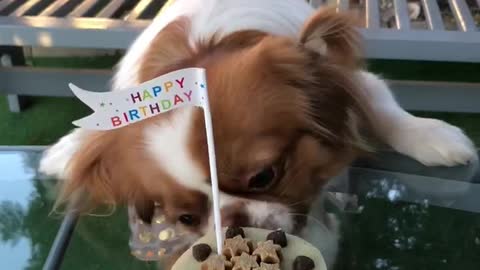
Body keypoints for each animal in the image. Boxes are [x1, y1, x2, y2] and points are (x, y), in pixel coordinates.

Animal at [39, 0, 478, 266]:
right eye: (186, 218)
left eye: (263, 176)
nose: (236, 219)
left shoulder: (350, 78)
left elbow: (384, 110)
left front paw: (435, 137)